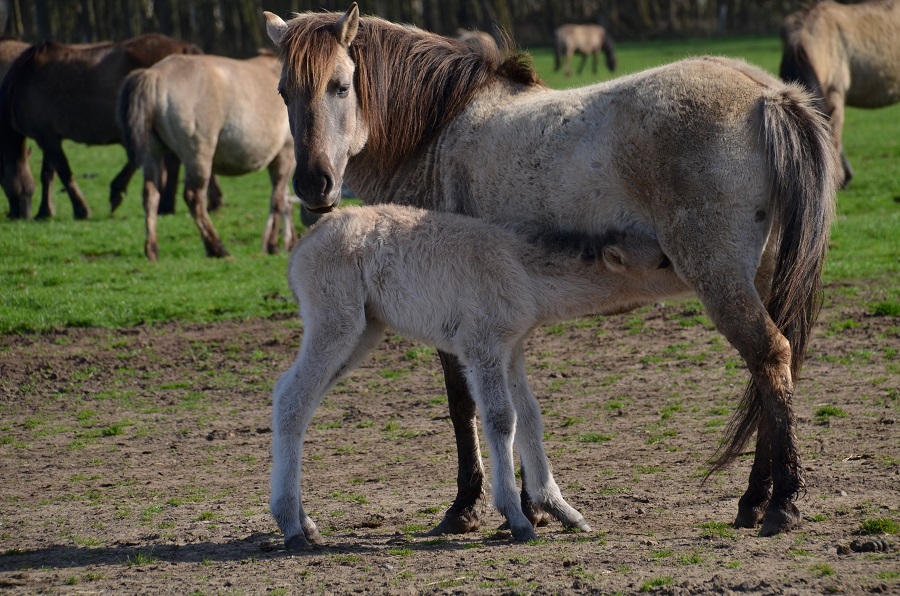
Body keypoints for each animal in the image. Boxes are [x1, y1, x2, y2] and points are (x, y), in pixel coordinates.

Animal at [0, 33, 207, 219]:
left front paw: (80, 210)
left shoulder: (45, 137)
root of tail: (184, 47)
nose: (15, 214)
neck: (22, 79)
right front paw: (45, 211)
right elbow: (49, 175)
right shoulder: (50, 136)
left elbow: (62, 172)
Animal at [116, 52, 296, 262]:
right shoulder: (285, 155)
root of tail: (155, 74)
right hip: (199, 157)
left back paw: (152, 250)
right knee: (194, 198)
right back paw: (217, 248)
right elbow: (278, 200)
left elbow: (285, 200)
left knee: (150, 195)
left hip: (153, 153)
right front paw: (272, 244)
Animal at [270, 203, 684, 548]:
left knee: (291, 395)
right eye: (663, 262)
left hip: (365, 330)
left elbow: (530, 417)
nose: (691, 276)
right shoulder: (481, 346)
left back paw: (304, 522)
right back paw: (292, 527)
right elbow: (502, 420)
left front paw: (562, 510)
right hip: (337, 321)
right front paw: (518, 519)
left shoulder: (512, 349)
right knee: (293, 398)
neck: (523, 271)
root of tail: (302, 246)